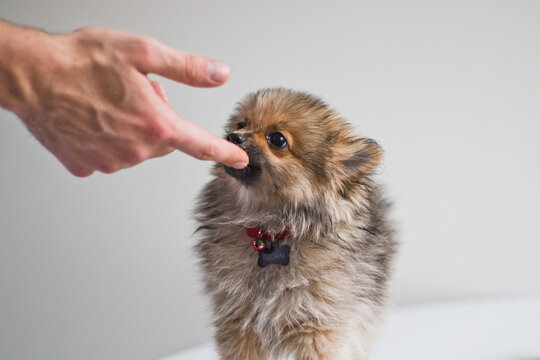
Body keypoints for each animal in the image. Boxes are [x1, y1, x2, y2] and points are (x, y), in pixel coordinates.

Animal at [195, 88, 396, 360]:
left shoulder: (317, 327)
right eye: (241, 124)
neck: (270, 232)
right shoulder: (239, 324)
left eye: (277, 139)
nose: (232, 136)